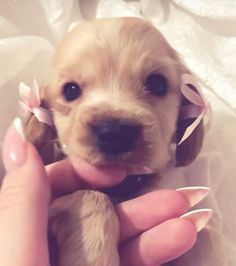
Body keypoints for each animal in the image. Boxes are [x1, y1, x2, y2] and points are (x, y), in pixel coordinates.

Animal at [24, 17, 225, 266]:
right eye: (70, 90)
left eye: (157, 83)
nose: (115, 133)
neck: (121, 187)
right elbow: (93, 197)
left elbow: (203, 231)